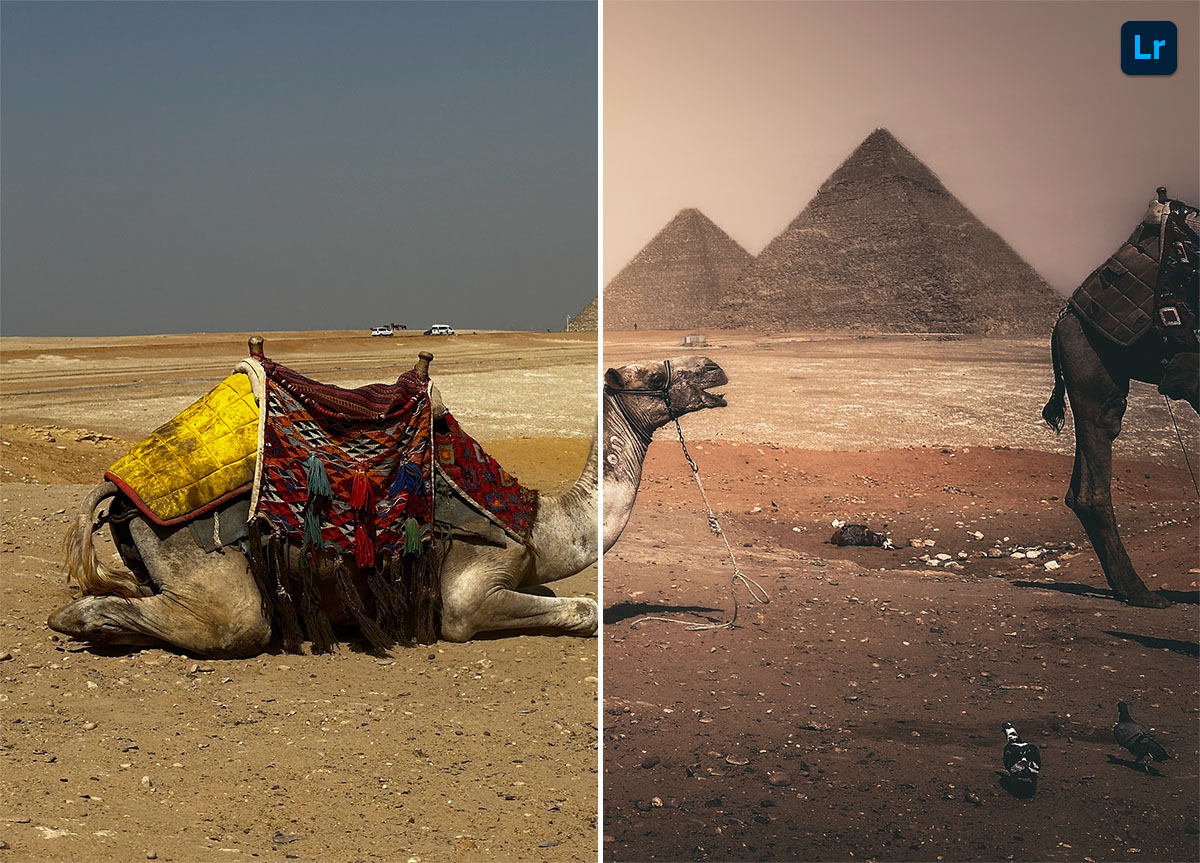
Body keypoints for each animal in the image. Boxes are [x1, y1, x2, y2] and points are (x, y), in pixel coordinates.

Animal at [47, 357, 598, 658]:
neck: (540, 524)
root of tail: (118, 487)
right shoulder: (474, 585)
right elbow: (580, 608)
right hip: (190, 546)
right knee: (234, 623)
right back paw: (76, 618)